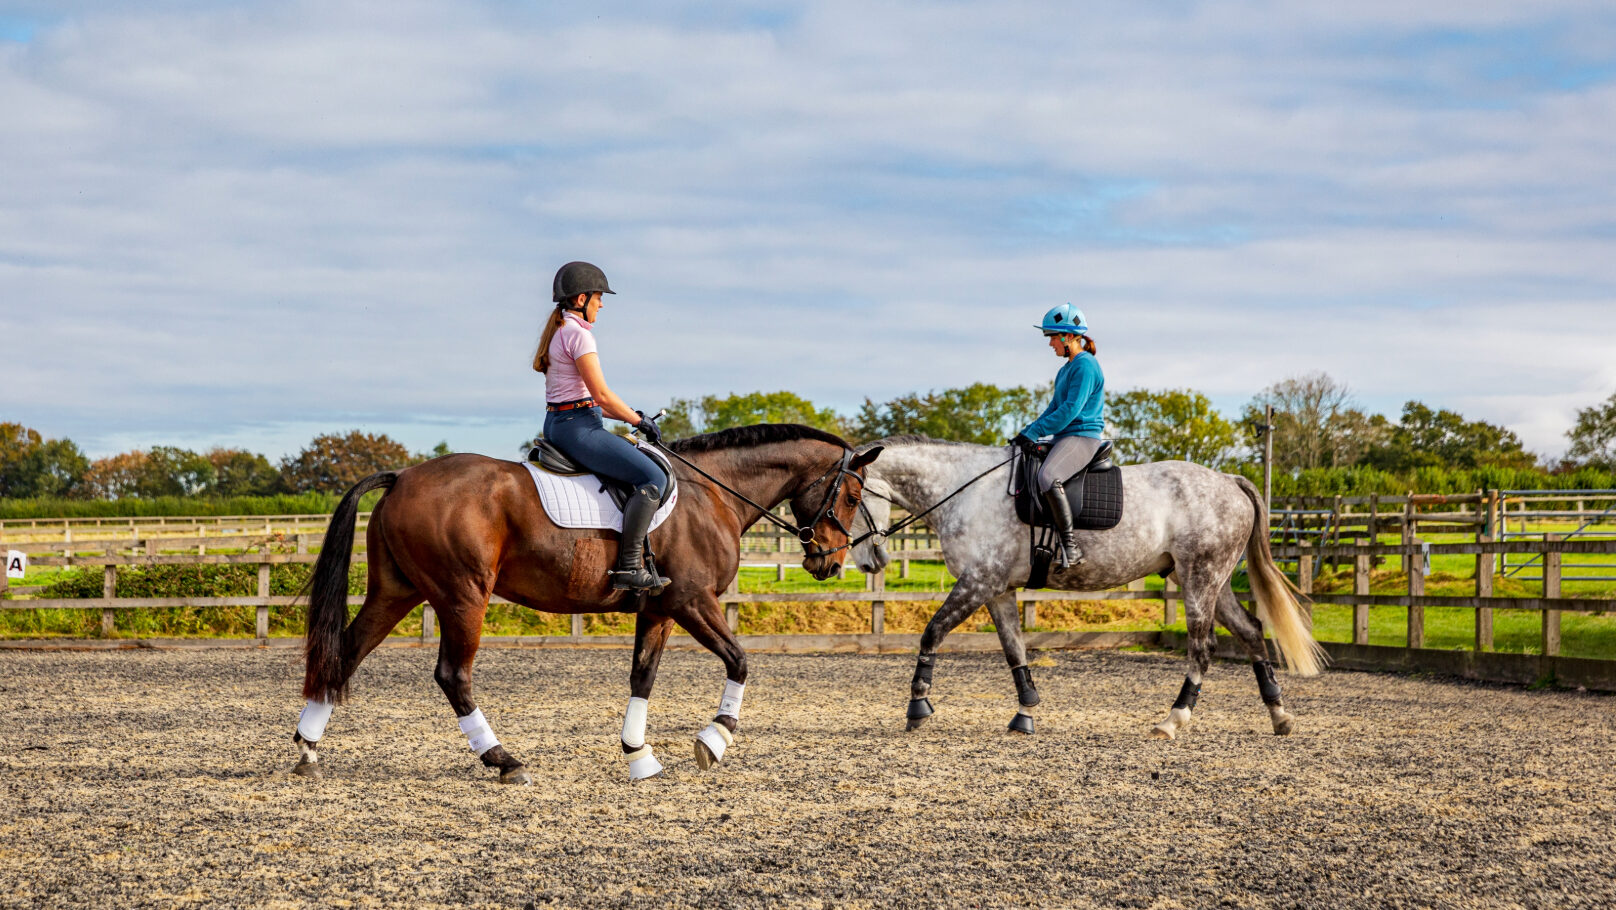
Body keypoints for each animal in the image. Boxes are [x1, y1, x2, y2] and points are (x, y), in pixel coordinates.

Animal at [291, 424, 883, 783]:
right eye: (853, 495)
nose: (830, 562)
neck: (711, 492)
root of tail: (402, 476)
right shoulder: (692, 601)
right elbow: (739, 661)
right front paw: (713, 741)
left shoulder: (659, 609)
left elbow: (643, 677)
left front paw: (639, 757)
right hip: (464, 596)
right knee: (452, 675)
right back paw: (504, 761)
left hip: (397, 591)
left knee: (347, 653)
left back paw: (307, 750)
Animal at [846, 435, 1324, 740]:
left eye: (850, 499)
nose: (867, 561)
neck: (965, 490)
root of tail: (1229, 480)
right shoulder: (997, 589)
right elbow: (1014, 651)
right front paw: (1025, 713)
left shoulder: (978, 582)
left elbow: (933, 632)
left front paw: (918, 707)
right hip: (1210, 581)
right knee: (1251, 633)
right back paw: (1279, 715)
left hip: (1200, 579)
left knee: (1202, 649)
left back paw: (1172, 721)